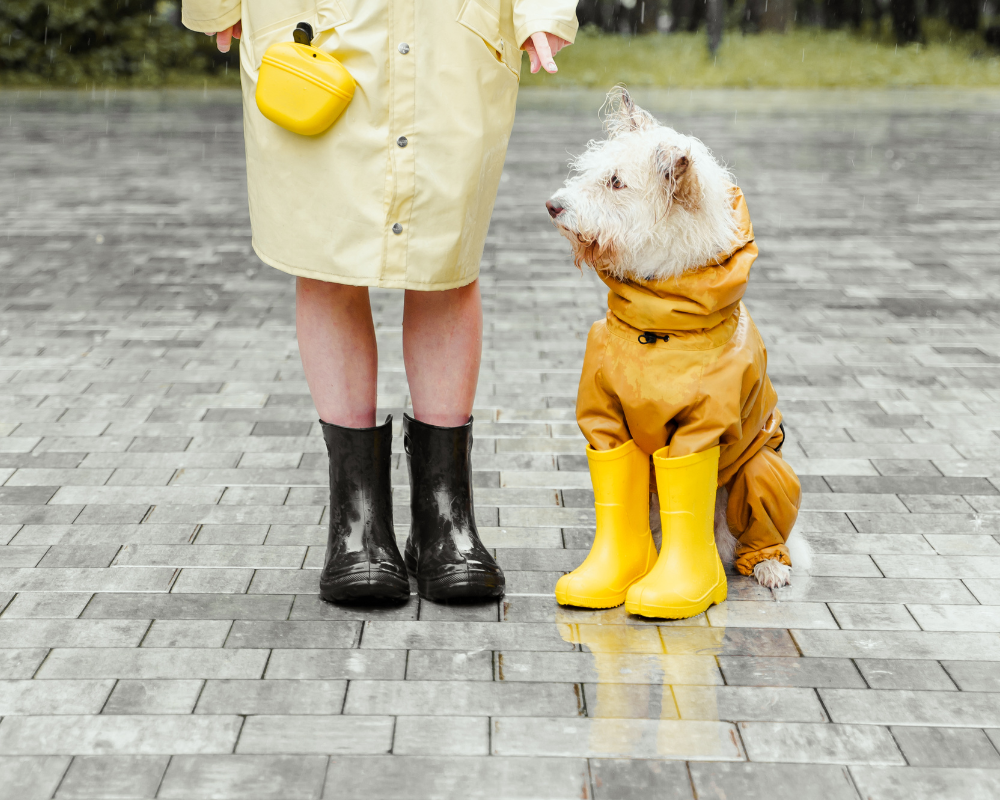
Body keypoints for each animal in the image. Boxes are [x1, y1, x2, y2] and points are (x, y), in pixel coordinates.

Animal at [552, 89, 800, 588]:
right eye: (589, 171)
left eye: (615, 182)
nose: (552, 206)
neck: (660, 319)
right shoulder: (604, 416)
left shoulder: (703, 427)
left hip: (763, 465)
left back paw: (765, 562)